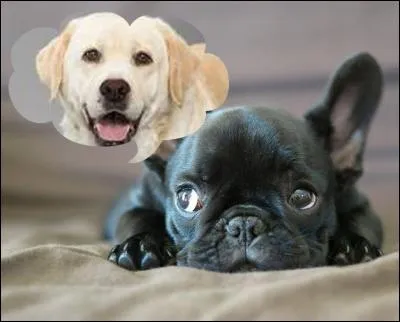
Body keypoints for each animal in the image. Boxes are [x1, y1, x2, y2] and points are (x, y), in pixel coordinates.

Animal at [104, 52, 384, 272]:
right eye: (187, 199)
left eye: (303, 198)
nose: (245, 224)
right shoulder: (135, 203)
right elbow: (136, 218)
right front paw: (141, 246)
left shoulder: (361, 205)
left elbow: (359, 220)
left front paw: (351, 246)